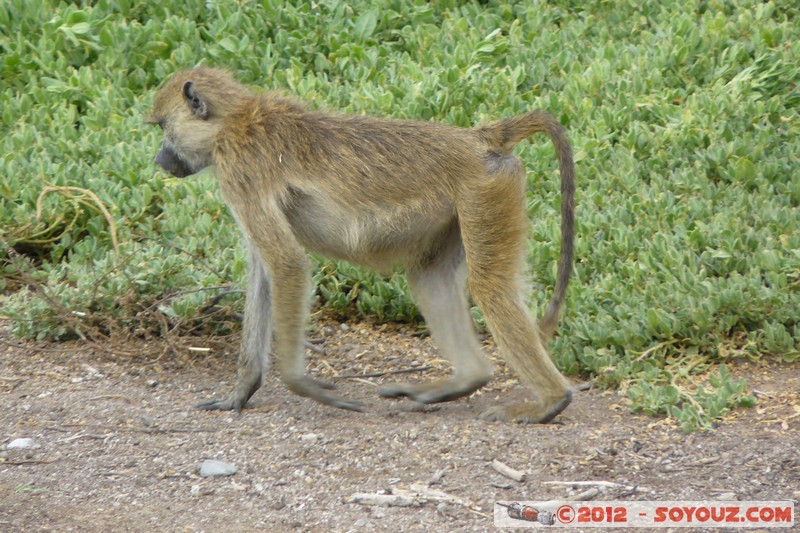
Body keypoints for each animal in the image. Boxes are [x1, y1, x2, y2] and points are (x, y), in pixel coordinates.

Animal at [148, 67, 575, 423]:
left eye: (163, 127)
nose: (158, 159)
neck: (233, 122)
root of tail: (475, 139)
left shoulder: (241, 172)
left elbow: (286, 263)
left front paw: (302, 384)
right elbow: (265, 272)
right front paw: (241, 392)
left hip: (485, 192)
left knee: (489, 287)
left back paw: (551, 401)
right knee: (429, 278)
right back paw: (467, 379)